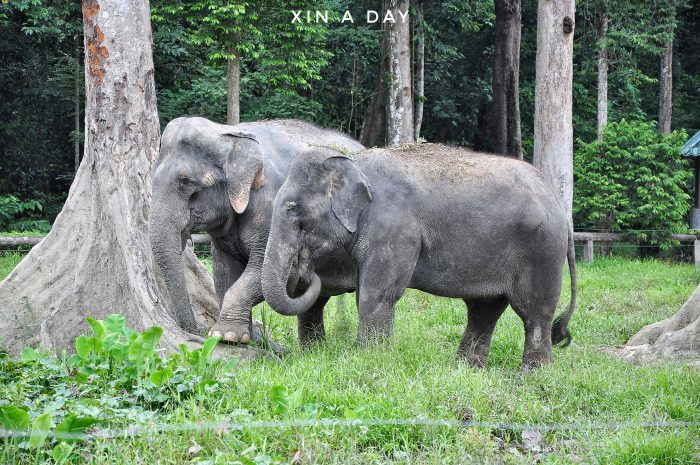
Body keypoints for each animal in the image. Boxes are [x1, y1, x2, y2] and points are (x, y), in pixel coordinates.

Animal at [150, 116, 364, 340]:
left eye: (185, 182)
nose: (193, 333)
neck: (228, 133)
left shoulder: (272, 209)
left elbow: (272, 273)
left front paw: (226, 335)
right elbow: (223, 274)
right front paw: (244, 338)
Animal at [260, 141, 576, 366]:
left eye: (292, 208)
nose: (303, 264)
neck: (353, 160)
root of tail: (557, 202)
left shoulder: (394, 229)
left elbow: (377, 293)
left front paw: (372, 361)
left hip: (543, 249)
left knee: (534, 311)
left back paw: (532, 375)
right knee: (484, 309)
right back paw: (466, 370)